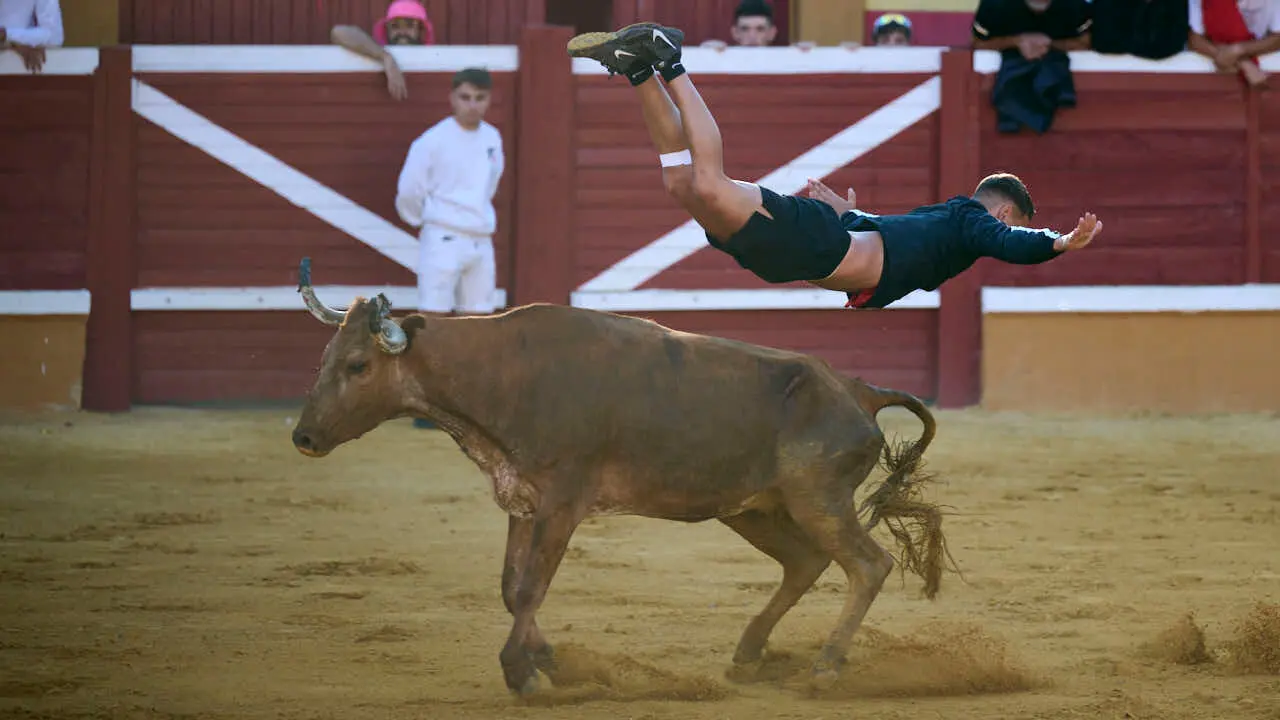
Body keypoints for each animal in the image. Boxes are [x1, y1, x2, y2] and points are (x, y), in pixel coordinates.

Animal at [289, 257, 954, 697]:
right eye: (323, 360)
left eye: (357, 365)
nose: (304, 438)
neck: (504, 373)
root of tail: (858, 390)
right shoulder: (522, 501)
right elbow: (510, 587)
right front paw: (551, 660)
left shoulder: (563, 503)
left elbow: (529, 589)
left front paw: (522, 673)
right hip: (755, 508)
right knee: (805, 562)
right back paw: (748, 655)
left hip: (818, 500)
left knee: (867, 565)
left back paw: (826, 667)